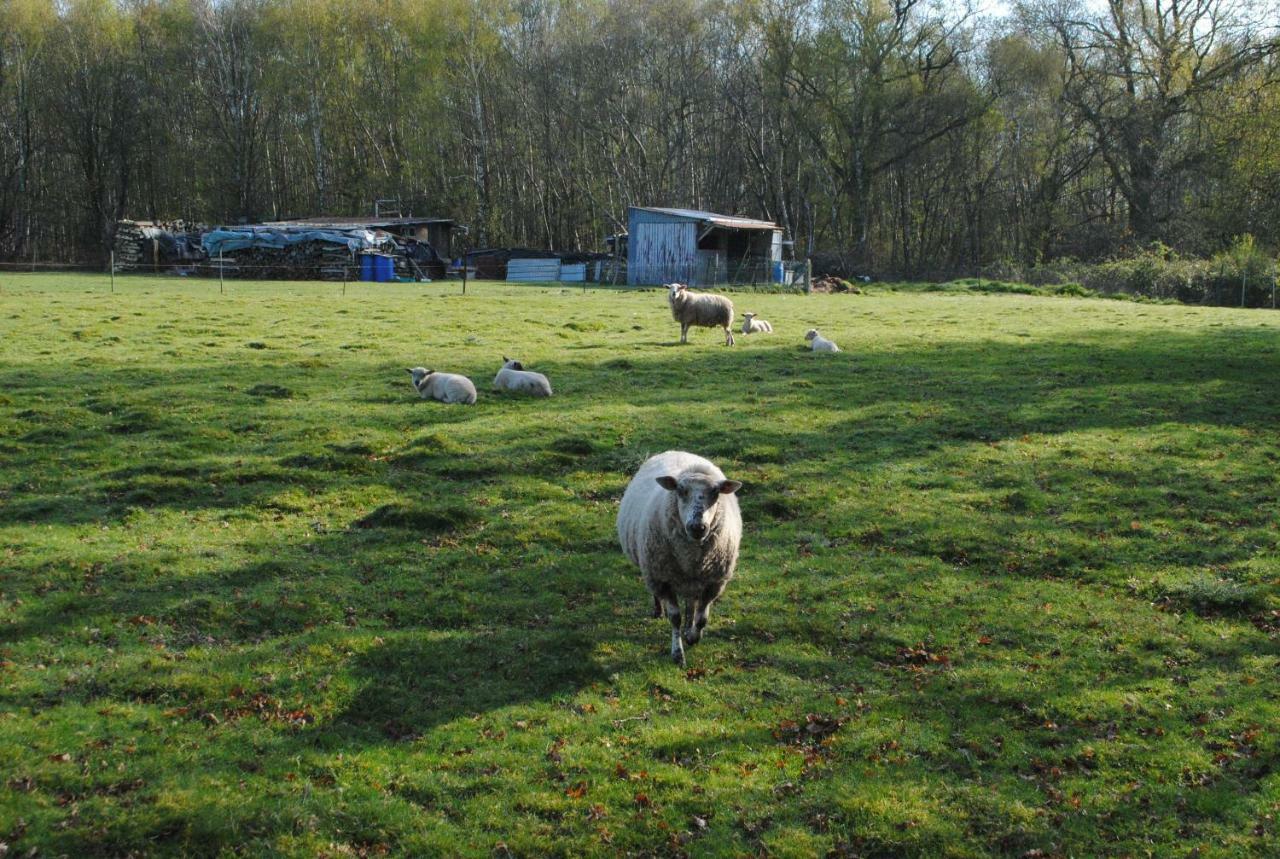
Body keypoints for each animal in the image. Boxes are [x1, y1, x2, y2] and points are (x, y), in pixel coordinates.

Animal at [616, 453, 747, 670]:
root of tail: (675, 451)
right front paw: (677, 654)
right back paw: (658, 610)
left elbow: (702, 618)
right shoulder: (663, 579)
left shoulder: (714, 582)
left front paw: (693, 636)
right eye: (680, 490)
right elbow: (675, 618)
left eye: (716, 492)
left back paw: (688, 626)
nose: (698, 527)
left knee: (691, 602)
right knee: (658, 595)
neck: (690, 557)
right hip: (652, 570)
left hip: (690, 580)